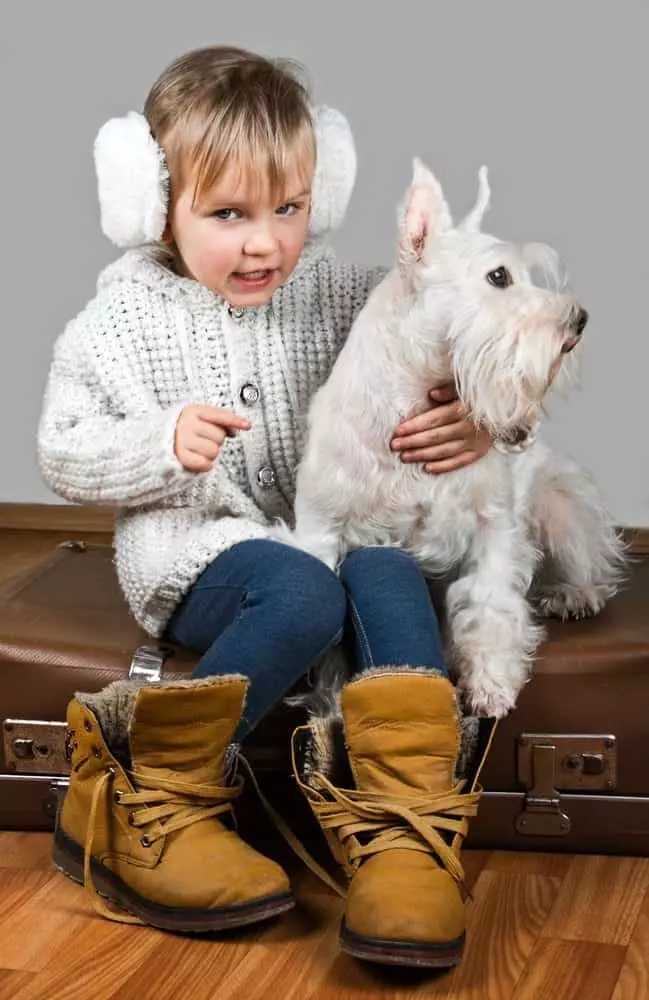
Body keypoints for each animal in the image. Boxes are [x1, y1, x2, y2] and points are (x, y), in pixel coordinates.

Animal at [288, 160, 624, 716]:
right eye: (498, 276)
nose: (579, 320)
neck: (414, 395)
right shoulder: (322, 529)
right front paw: (332, 700)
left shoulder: (494, 526)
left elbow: (490, 603)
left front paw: (491, 685)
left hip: (561, 504)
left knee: (589, 561)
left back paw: (573, 594)